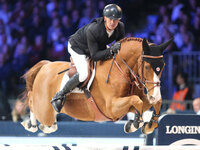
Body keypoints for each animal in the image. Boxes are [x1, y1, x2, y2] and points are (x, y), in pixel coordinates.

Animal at [21, 37, 173, 135]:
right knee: (31, 99)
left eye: (163, 66)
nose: (154, 94)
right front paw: (136, 123)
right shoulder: (112, 108)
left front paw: (148, 125)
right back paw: (31, 125)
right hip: (43, 110)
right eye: (147, 67)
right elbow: (136, 100)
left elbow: (152, 102)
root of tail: (45, 65)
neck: (121, 70)